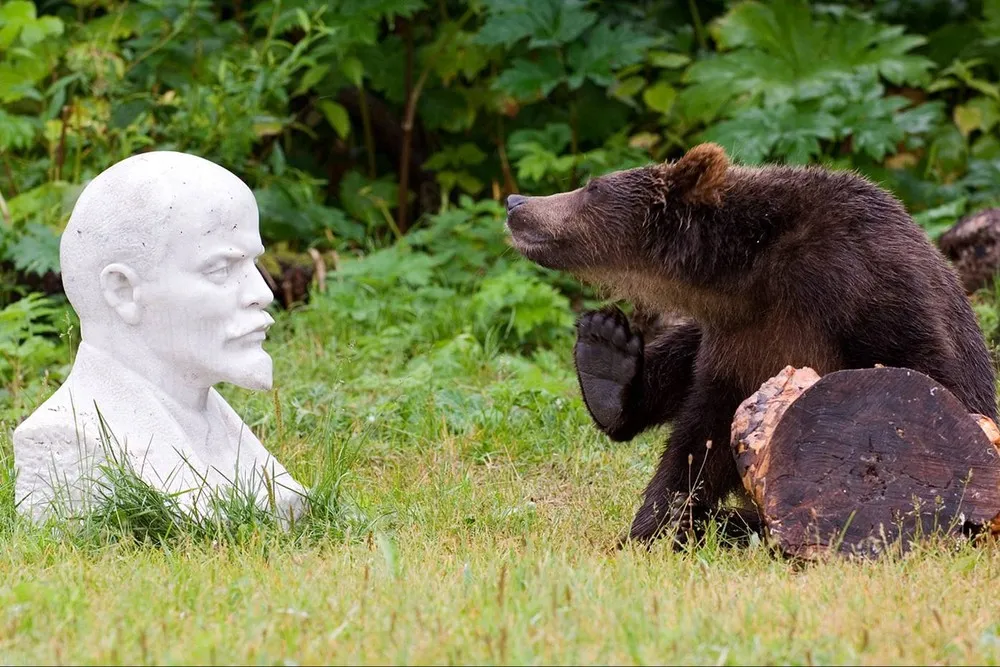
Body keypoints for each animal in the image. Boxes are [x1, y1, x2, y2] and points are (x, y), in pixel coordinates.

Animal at [504, 144, 996, 552]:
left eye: (593, 187)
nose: (515, 203)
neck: (746, 270)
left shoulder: (863, 281)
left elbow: (933, 381)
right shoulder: (739, 337)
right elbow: (701, 437)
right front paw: (656, 528)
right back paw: (606, 360)